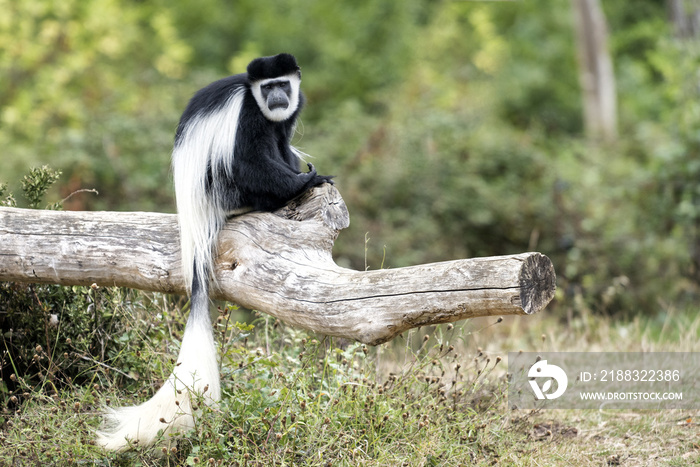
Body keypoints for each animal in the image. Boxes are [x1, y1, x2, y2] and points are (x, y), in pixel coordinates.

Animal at [96, 53, 334, 452]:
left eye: (282, 85)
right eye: (267, 87)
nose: (277, 99)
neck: (258, 101)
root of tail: (196, 222)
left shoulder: (290, 111)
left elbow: (281, 141)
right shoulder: (247, 115)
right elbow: (248, 160)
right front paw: (307, 180)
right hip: (223, 191)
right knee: (243, 164)